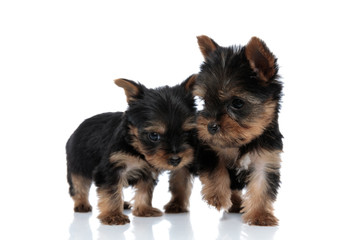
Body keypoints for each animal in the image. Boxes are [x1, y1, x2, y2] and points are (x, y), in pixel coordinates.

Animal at [67, 75, 197, 225]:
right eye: (154, 135)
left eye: (187, 133)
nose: (176, 160)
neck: (137, 151)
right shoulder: (111, 168)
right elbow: (111, 191)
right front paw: (113, 215)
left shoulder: (147, 171)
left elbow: (144, 190)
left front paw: (144, 210)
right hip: (77, 164)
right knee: (78, 184)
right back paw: (81, 204)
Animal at [193, 35, 282, 225]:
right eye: (205, 101)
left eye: (237, 103)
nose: (210, 126)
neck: (242, 141)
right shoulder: (209, 147)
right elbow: (216, 168)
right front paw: (217, 197)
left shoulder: (266, 158)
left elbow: (262, 186)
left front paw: (260, 215)